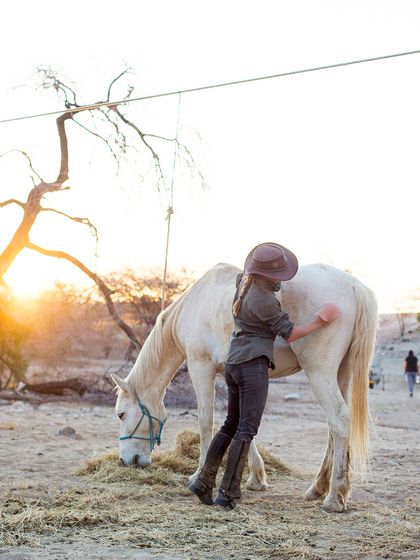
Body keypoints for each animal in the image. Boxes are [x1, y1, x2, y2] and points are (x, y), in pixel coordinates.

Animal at [111, 262, 378, 512]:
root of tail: (354, 286)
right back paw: (318, 488)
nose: (126, 461)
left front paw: (198, 476)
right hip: (341, 373)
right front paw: (257, 478)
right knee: (334, 429)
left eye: (121, 414)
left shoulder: (201, 368)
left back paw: (334, 498)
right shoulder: (231, 377)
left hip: (320, 373)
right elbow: (238, 423)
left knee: (339, 420)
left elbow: (206, 422)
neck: (191, 307)